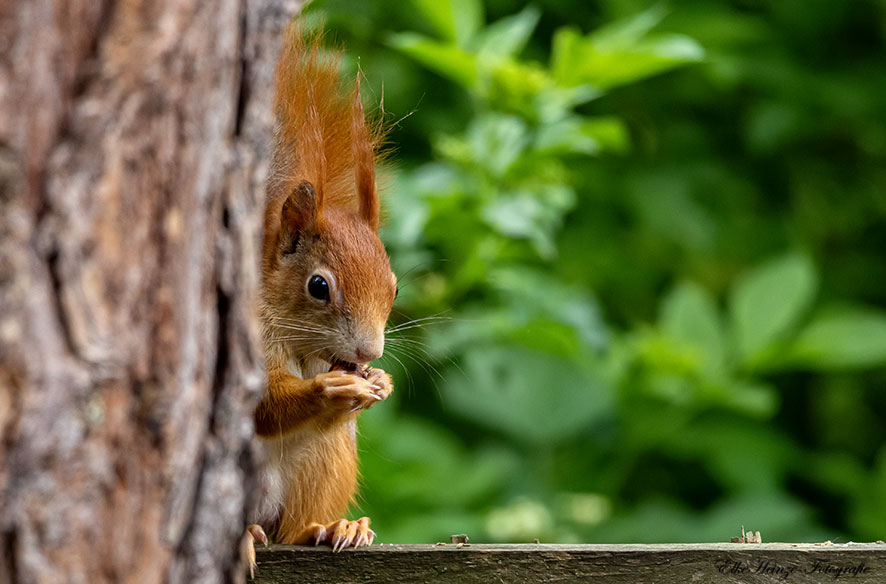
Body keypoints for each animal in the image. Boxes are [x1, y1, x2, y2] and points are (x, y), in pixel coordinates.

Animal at [243, 22, 396, 572]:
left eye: (395, 286)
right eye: (319, 286)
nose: (370, 352)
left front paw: (380, 381)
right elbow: (262, 402)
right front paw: (327, 390)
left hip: (325, 462)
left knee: (293, 528)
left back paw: (333, 527)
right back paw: (244, 537)